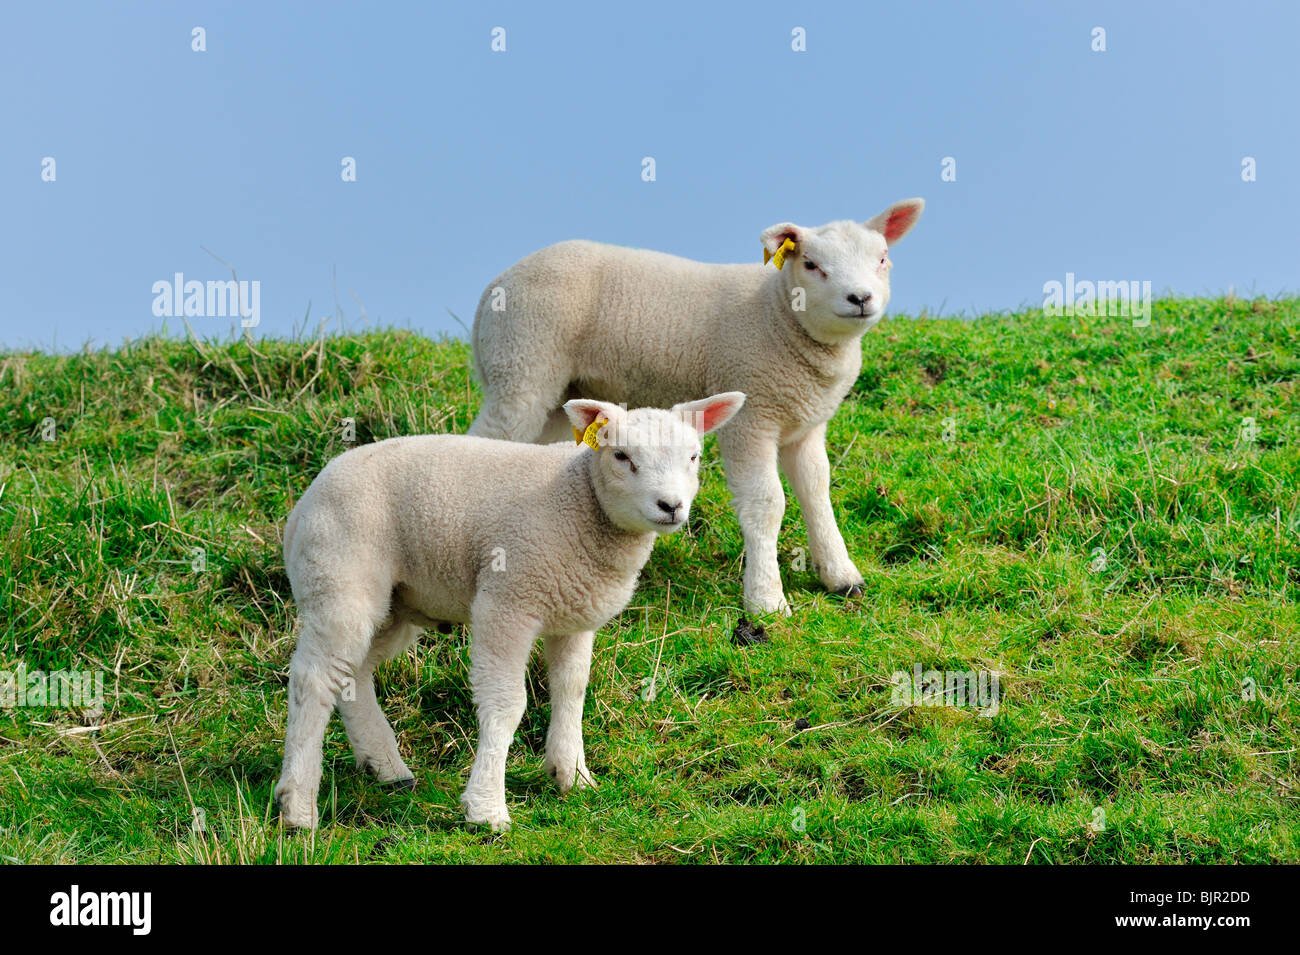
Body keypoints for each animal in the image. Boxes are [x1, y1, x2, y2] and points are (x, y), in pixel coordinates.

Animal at [274, 390, 746, 831]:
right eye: (621, 456)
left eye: (693, 457)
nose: (671, 507)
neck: (580, 499)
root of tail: (302, 507)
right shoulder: (506, 603)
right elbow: (507, 703)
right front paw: (486, 808)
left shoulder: (573, 613)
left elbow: (572, 689)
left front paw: (571, 775)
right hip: (339, 577)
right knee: (313, 679)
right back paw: (298, 806)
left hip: (394, 602)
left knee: (353, 673)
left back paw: (385, 766)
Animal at [469, 198, 924, 615]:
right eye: (812, 265)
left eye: (882, 259)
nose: (860, 297)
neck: (778, 315)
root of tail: (493, 288)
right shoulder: (751, 416)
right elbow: (767, 503)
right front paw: (766, 600)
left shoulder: (805, 424)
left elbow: (816, 491)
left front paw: (841, 575)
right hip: (522, 364)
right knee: (489, 435)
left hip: (559, 392)